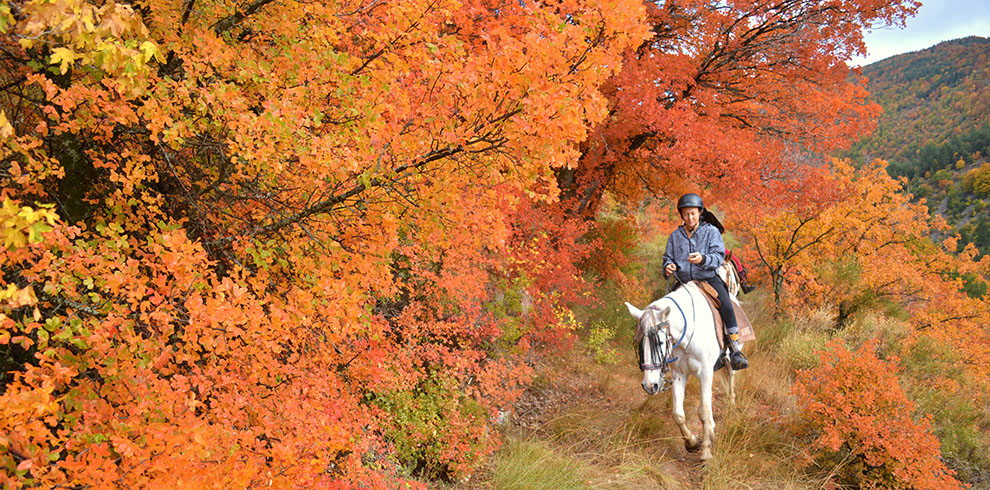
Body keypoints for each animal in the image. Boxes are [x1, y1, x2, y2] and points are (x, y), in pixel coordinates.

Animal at [628, 262, 744, 462]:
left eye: (660, 342)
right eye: (639, 344)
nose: (650, 386)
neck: (690, 330)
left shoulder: (705, 372)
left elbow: (703, 410)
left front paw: (706, 452)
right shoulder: (679, 374)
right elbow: (678, 414)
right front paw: (692, 443)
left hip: (729, 362)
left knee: (730, 382)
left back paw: (730, 409)